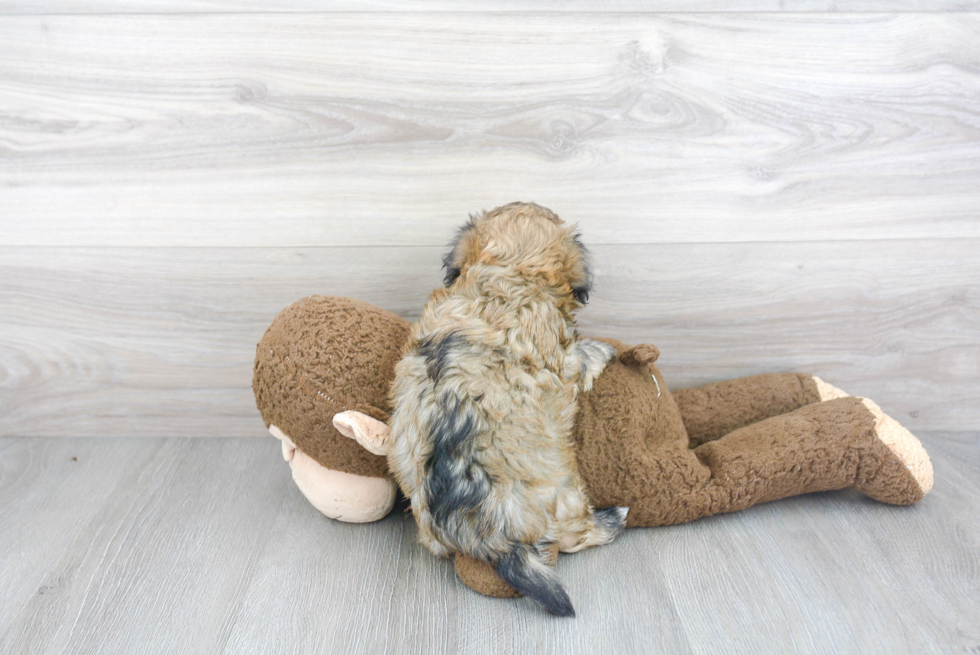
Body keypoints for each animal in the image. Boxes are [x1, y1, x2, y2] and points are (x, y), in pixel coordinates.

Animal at [384, 202, 624, 616]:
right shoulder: (566, 356)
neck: (509, 273)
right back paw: (611, 521)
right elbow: (582, 354)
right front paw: (603, 349)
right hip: (567, 493)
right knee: (573, 535)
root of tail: (487, 538)